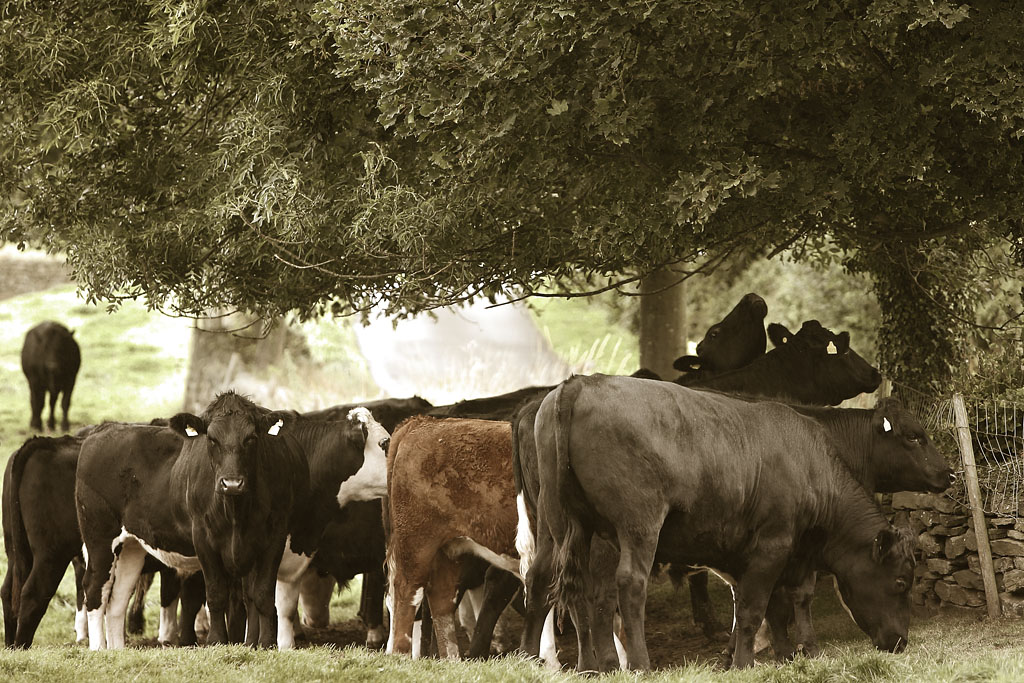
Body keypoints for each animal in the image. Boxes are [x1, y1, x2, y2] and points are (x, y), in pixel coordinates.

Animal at [385, 413, 520, 659]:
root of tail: (422, 422)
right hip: (417, 544)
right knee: (407, 592)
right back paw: (401, 653)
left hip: (450, 547)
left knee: (441, 598)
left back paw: (452, 659)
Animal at [536, 374, 921, 667]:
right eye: (901, 581)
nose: (901, 641)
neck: (811, 467)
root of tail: (580, 383)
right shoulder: (773, 545)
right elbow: (753, 609)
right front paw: (744, 663)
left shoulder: (765, 556)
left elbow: (773, 608)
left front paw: (781, 657)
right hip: (638, 525)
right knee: (630, 586)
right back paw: (641, 665)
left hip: (574, 529)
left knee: (586, 594)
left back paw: (593, 667)